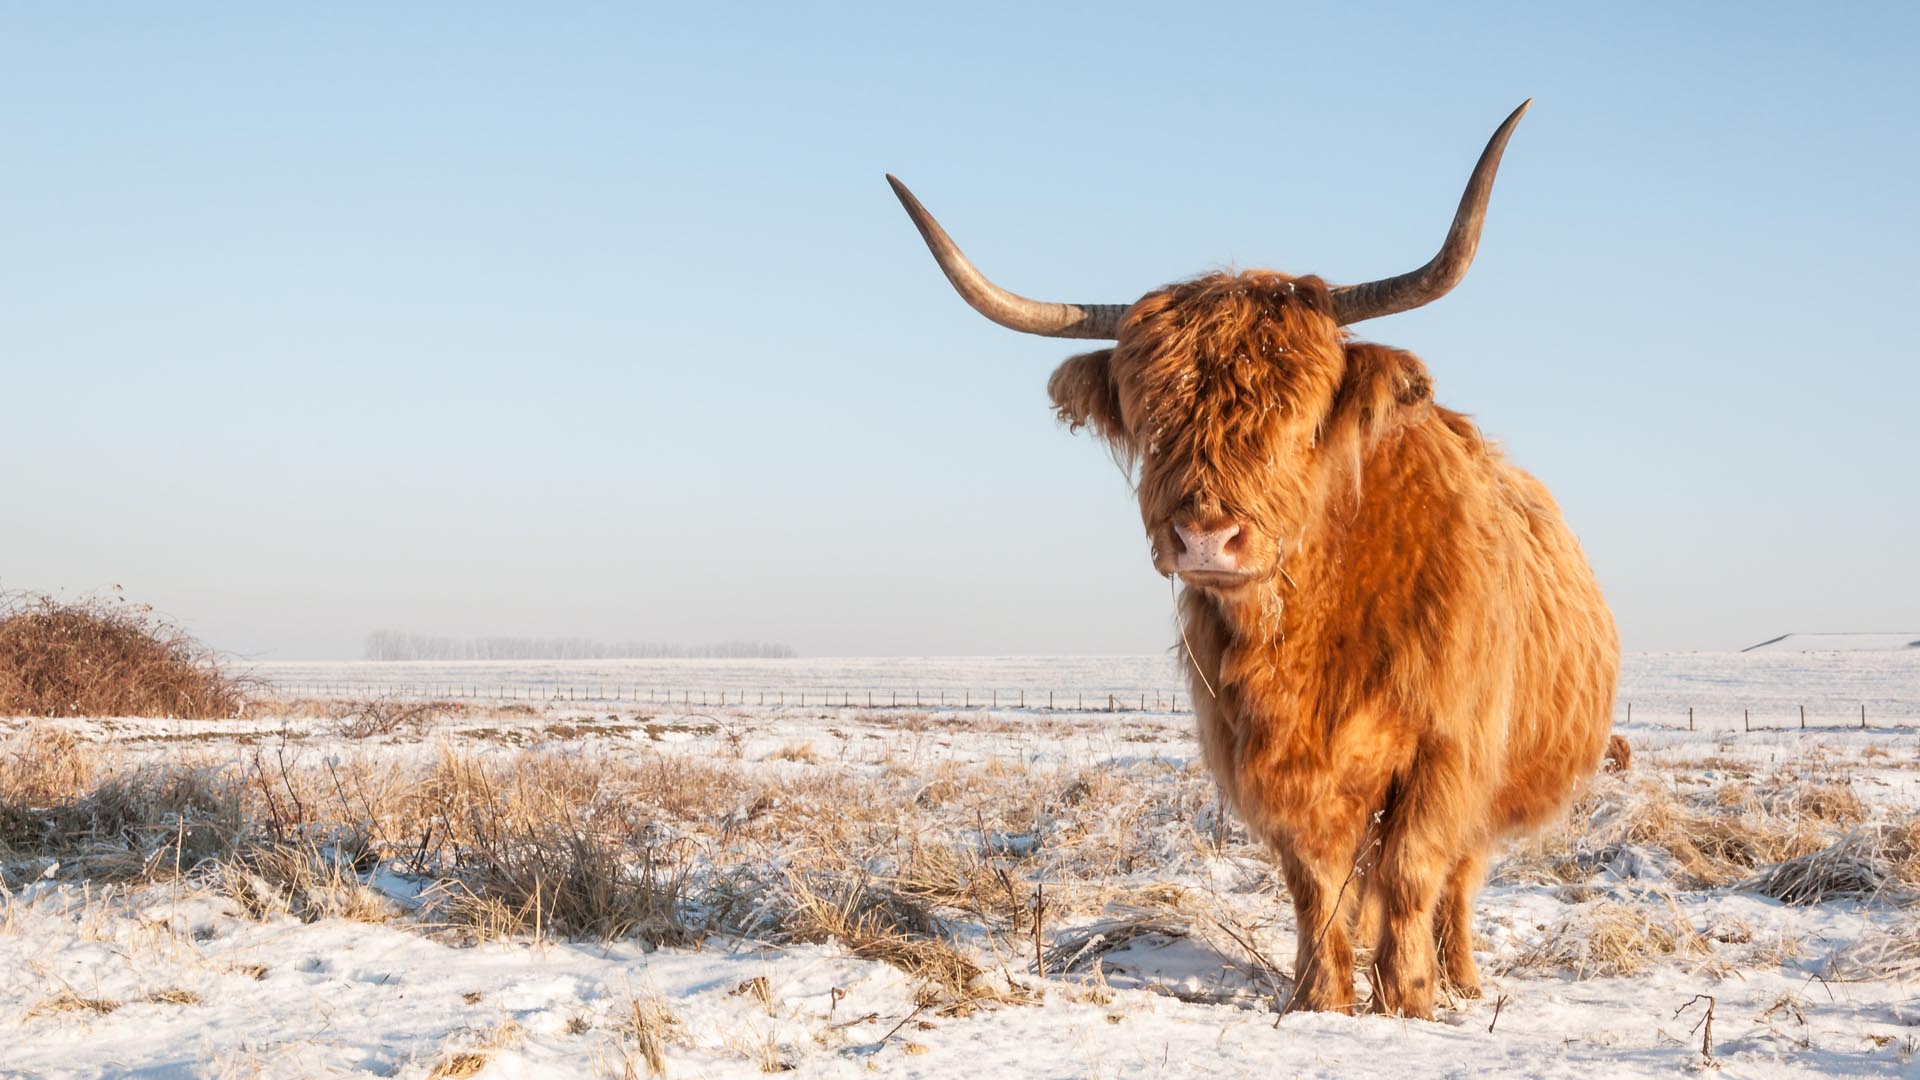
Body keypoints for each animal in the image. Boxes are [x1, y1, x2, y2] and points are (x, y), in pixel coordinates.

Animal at [887, 101, 1619, 1019]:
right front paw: (1320, 998)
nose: (1206, 539)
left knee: (1456, 877)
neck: (1317, 623)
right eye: (1149, 417)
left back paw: (1459, 977)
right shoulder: (1266, 759)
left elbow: (1414, 871)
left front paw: (1409, 1001)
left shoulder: (1446, 751)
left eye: (1302, 419)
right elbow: (1317, 879)